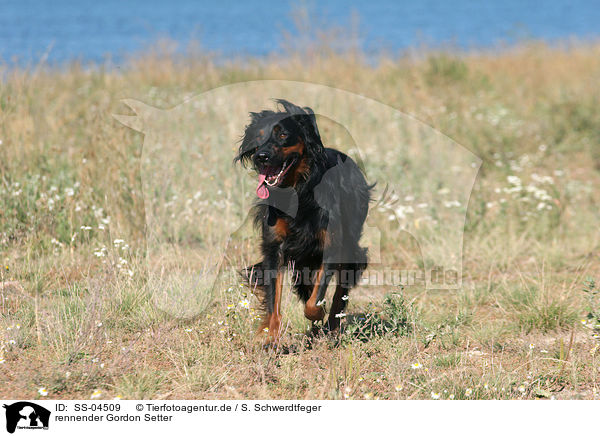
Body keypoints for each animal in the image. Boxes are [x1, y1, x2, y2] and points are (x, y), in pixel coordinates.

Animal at [234, 99, 370, 344]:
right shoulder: (275, 248)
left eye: (282, 135)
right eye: (258, 137)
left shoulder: (330, 244)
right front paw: (271, 337)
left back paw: (332, 327)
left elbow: (315, 301)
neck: (297, 191)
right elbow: (274, 299)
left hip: (348, 244)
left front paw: (320, 315)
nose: (261, 156)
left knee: (340, 289)